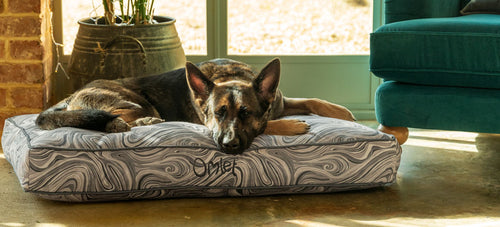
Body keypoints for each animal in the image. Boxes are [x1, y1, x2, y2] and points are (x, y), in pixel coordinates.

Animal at [36, 58, 356, 154]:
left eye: (246, 113)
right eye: (217, 114)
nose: (227, 145)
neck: (232, 77)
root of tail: (72, 95)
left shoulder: (280, 101)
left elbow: (312, 100)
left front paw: (345, 113)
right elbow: (269, 123)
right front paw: (293, 125)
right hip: (136, 102)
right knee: (108, 116)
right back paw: (131, 123)